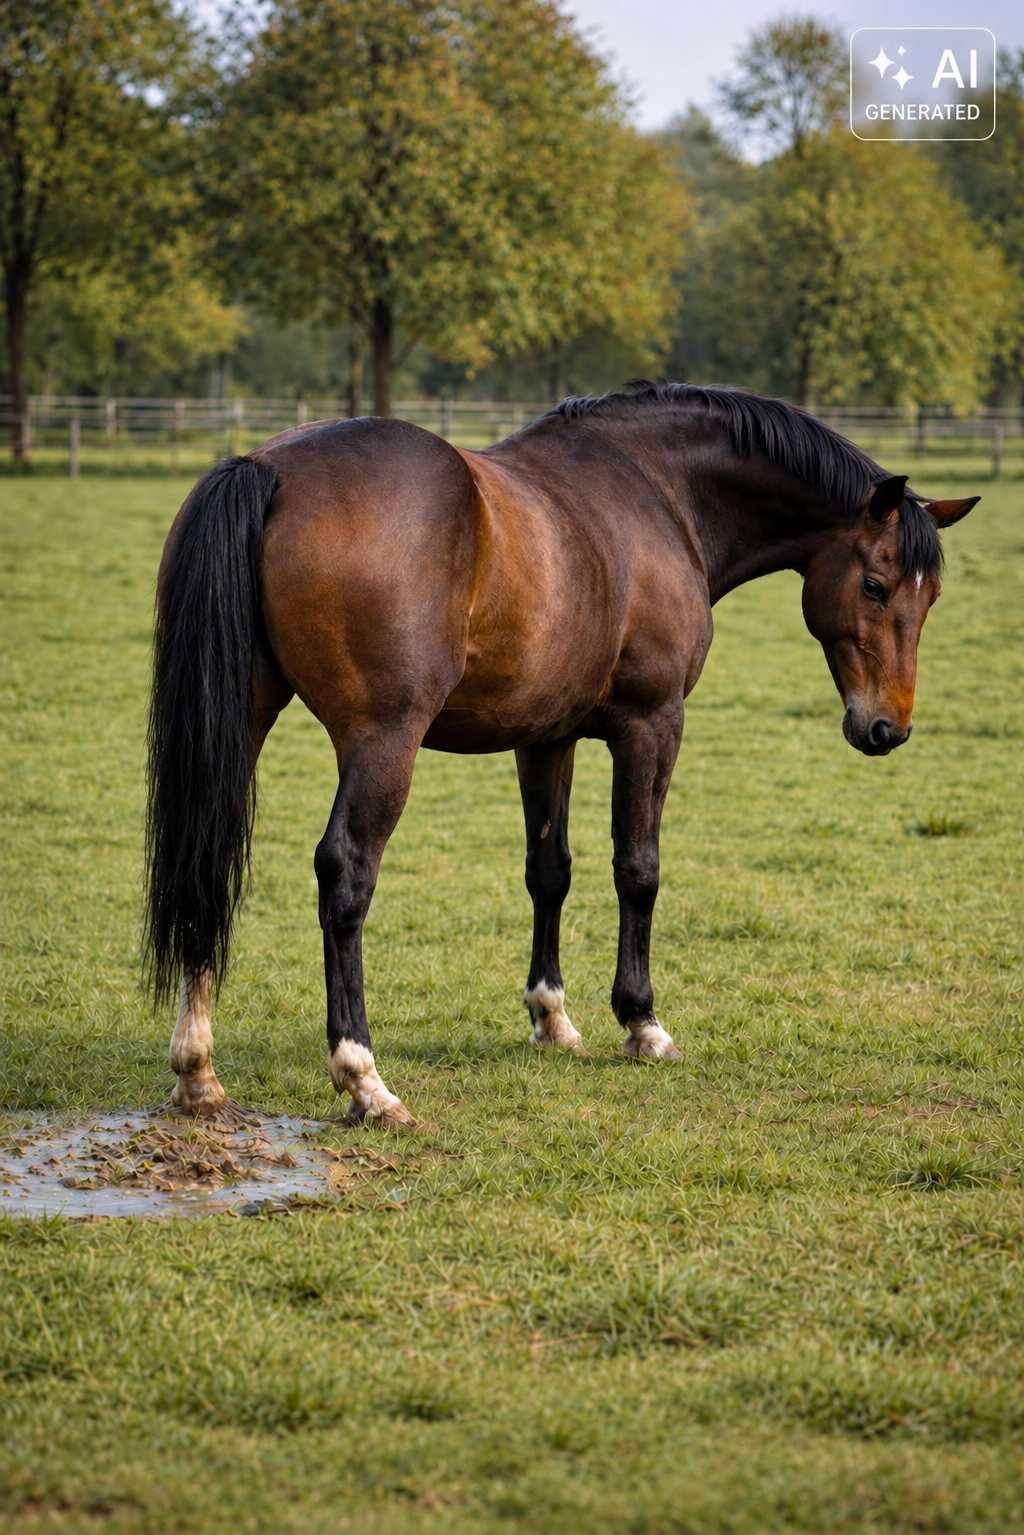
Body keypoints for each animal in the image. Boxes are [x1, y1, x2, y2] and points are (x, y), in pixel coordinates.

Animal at [145, 382, 979, 1126]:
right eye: (875, 584)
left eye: (931, 596)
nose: (888, 727)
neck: (659, 493)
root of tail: (267, 466)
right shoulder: (652, 724)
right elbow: (637, 869)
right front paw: (642, 1022)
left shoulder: (545, 736)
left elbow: (549, 870)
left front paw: (551, 1016)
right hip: (383, 741)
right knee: (345, 874)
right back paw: (364, 1078)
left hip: (242, 718)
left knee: (206, 860)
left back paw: (197, 1070)